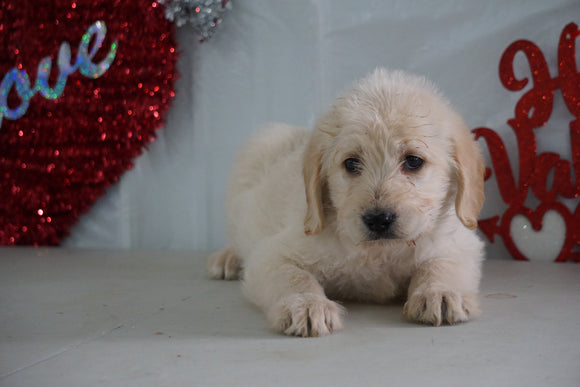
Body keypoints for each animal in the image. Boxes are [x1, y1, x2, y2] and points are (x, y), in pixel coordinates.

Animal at [207, 69, 484, 336]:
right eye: (351, 163)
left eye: (413, 161)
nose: (378, 219)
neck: (380, 252)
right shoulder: (271, 256)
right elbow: (293, 276)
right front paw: (307, 305)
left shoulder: (459, 244)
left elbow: (439, 264)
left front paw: (440, 292)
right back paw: (227, 258)